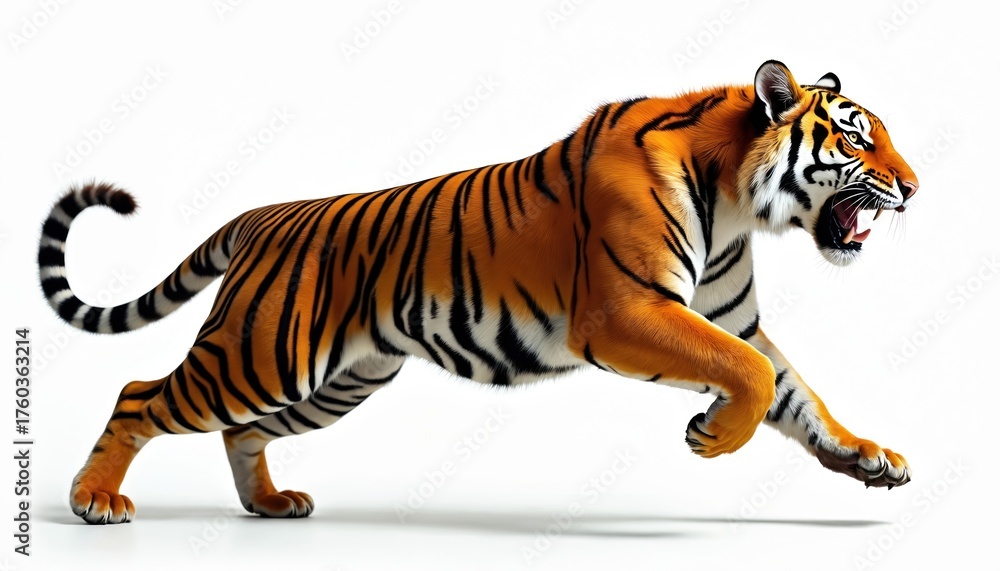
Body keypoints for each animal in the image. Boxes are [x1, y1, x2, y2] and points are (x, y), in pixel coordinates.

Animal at [38, 60, 917, 524]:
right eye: (855, 139)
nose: (914, 186)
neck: (735, 196)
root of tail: (264, 215)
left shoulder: (731, 317)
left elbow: (794, 389)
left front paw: (866, 455)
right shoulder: (624, 312)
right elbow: (753, 373)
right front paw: (711, 436)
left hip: (337, 380)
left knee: (240, 430)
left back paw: (271, 501)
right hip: (262, 357)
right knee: (138, 392)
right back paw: (94, 498)